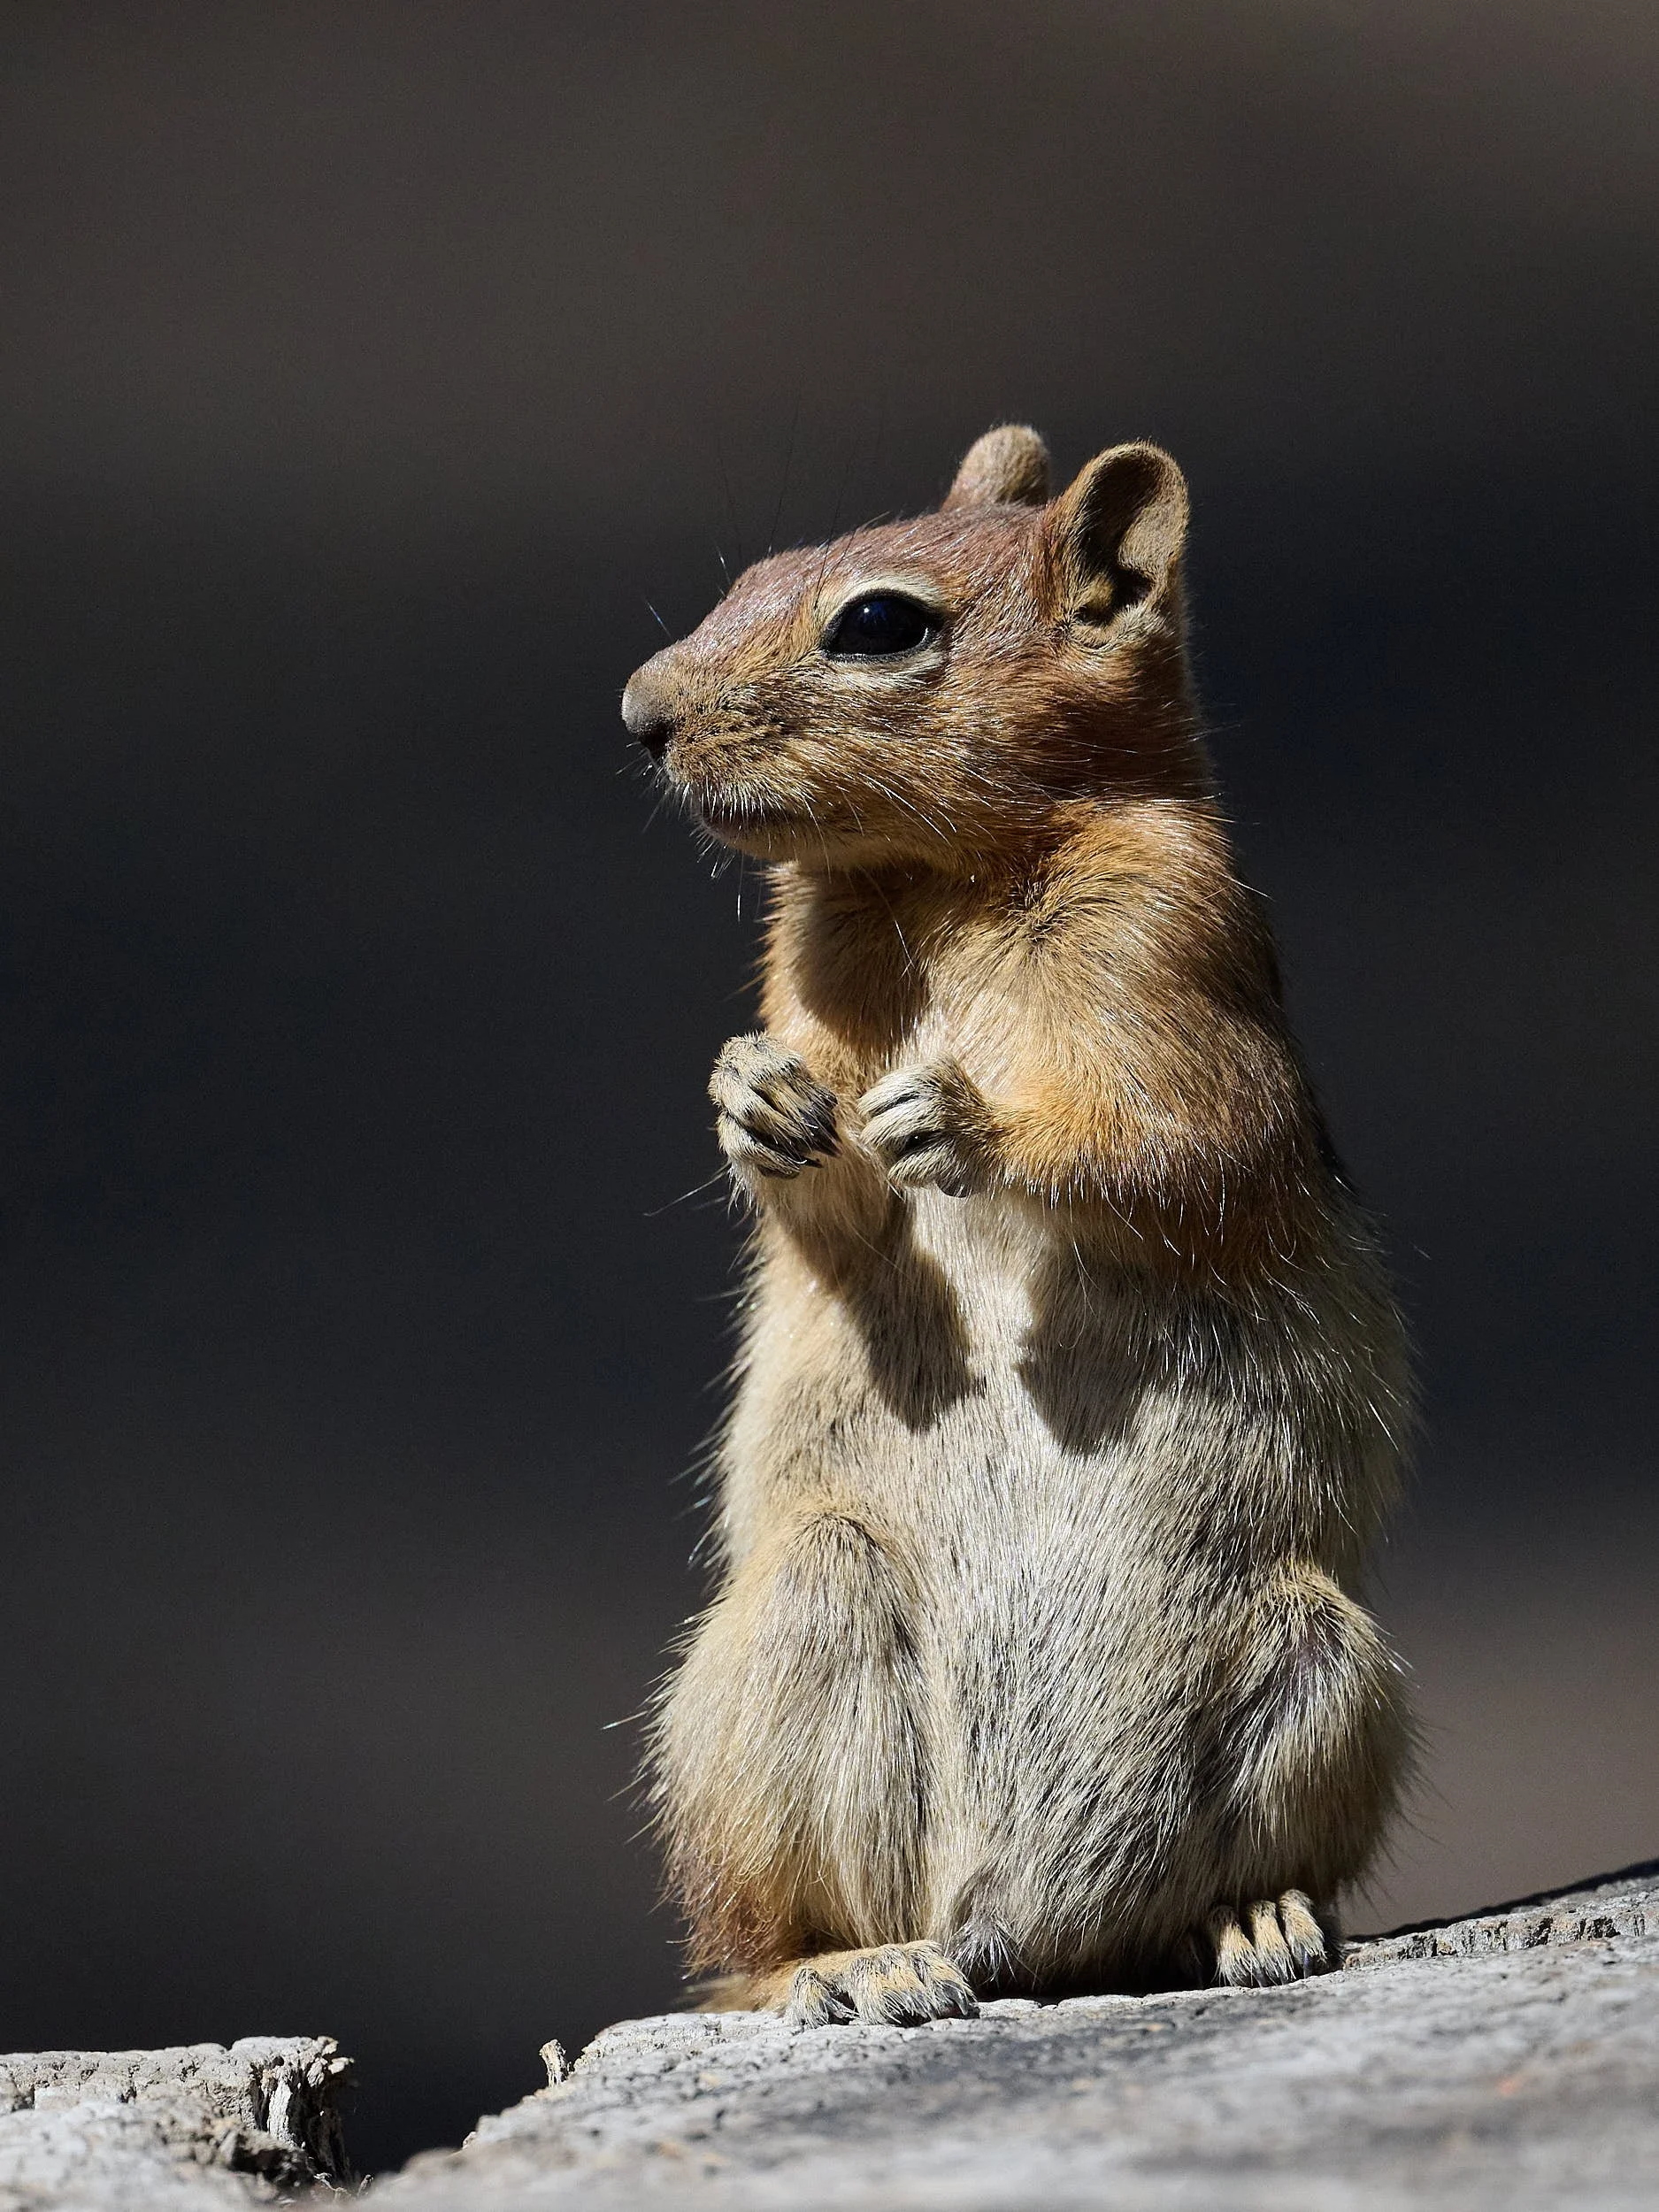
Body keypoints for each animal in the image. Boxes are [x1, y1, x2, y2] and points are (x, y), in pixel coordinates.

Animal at [621, 424, 1412, 2028]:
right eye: (751, 568)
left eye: (877, 624)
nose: (638, 717)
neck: (939, 881)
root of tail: (1015, 1920)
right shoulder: (805, 984)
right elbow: (822, 1214)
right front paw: (752, 1097)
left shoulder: (1187, 973)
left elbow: (1179, 1148)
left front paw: (965, 1122)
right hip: (797, 1633)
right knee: (746, 1951)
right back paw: (859, 1965)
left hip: (1324, 1662)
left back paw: (1251, 1920)